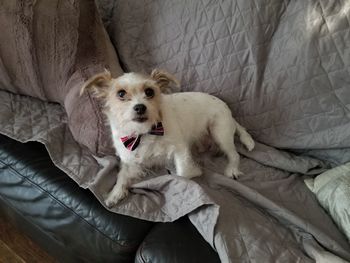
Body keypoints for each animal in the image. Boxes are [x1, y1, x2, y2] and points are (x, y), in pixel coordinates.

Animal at [83, 69, 256, 207]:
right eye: (121, 94)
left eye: (149, 92)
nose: (140, 107)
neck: (144, 132)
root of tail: (228, 110)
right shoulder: (130, 159)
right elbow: (122, 175)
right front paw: (115, 193)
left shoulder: (180, 149)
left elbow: (182, 174)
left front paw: (194, 171)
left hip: (220, 132)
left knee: (234, 154)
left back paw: (232, 169)